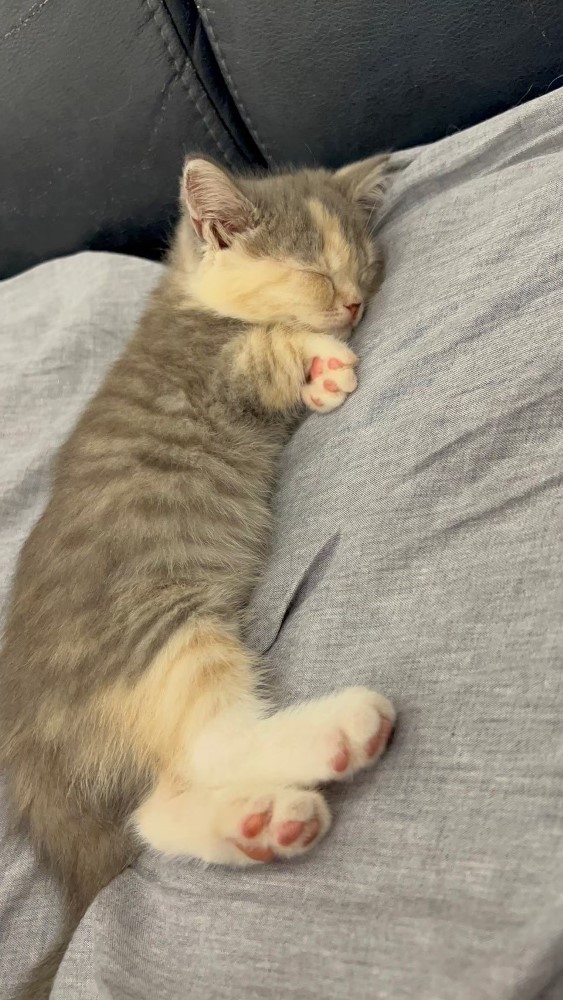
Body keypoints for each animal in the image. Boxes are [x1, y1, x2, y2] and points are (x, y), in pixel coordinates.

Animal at [0, 153, 396, 998]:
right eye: (315, 272)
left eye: (364, 267)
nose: (352, 305)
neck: (188, 303)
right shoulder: (208, 367)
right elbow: (264, 346)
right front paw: (322, 358)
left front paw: (321, 364)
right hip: (165, 630)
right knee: (212, 748)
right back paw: (337, 732)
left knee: (154, 810)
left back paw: (260, 824)